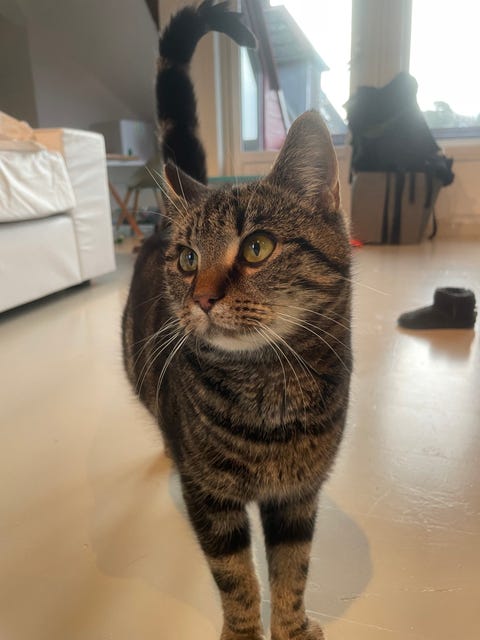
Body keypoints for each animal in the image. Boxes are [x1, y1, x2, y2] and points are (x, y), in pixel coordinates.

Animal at [122, 2, 352, 639]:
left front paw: (293, 628)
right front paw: (246, 631)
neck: (269, 390)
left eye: (257, 248)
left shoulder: (297, 496)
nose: (201, 298)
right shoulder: (212, 499)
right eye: (187, 259)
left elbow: (292, 571)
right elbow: (237, 579)